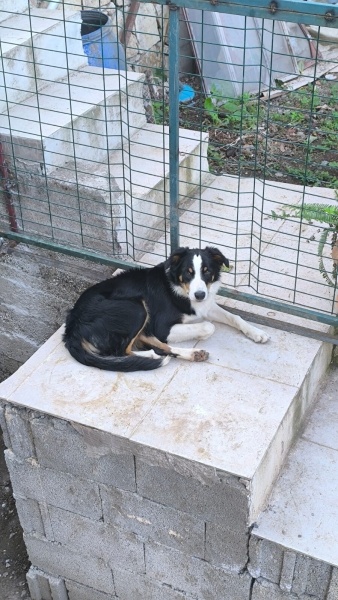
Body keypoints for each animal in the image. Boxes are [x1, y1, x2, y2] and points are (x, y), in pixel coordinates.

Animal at [64, 245, 270, 370]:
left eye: (206, 272)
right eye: (188, 273)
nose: (199, 295)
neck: (179, 289)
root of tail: (71, 327)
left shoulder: (206, 305)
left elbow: (235, 317)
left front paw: (257, 333)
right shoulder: (162, 327)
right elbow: (207, 326)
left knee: (154, 343)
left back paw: (194, 354)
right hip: (136, 309)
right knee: (123, 351)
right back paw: (151, 356)